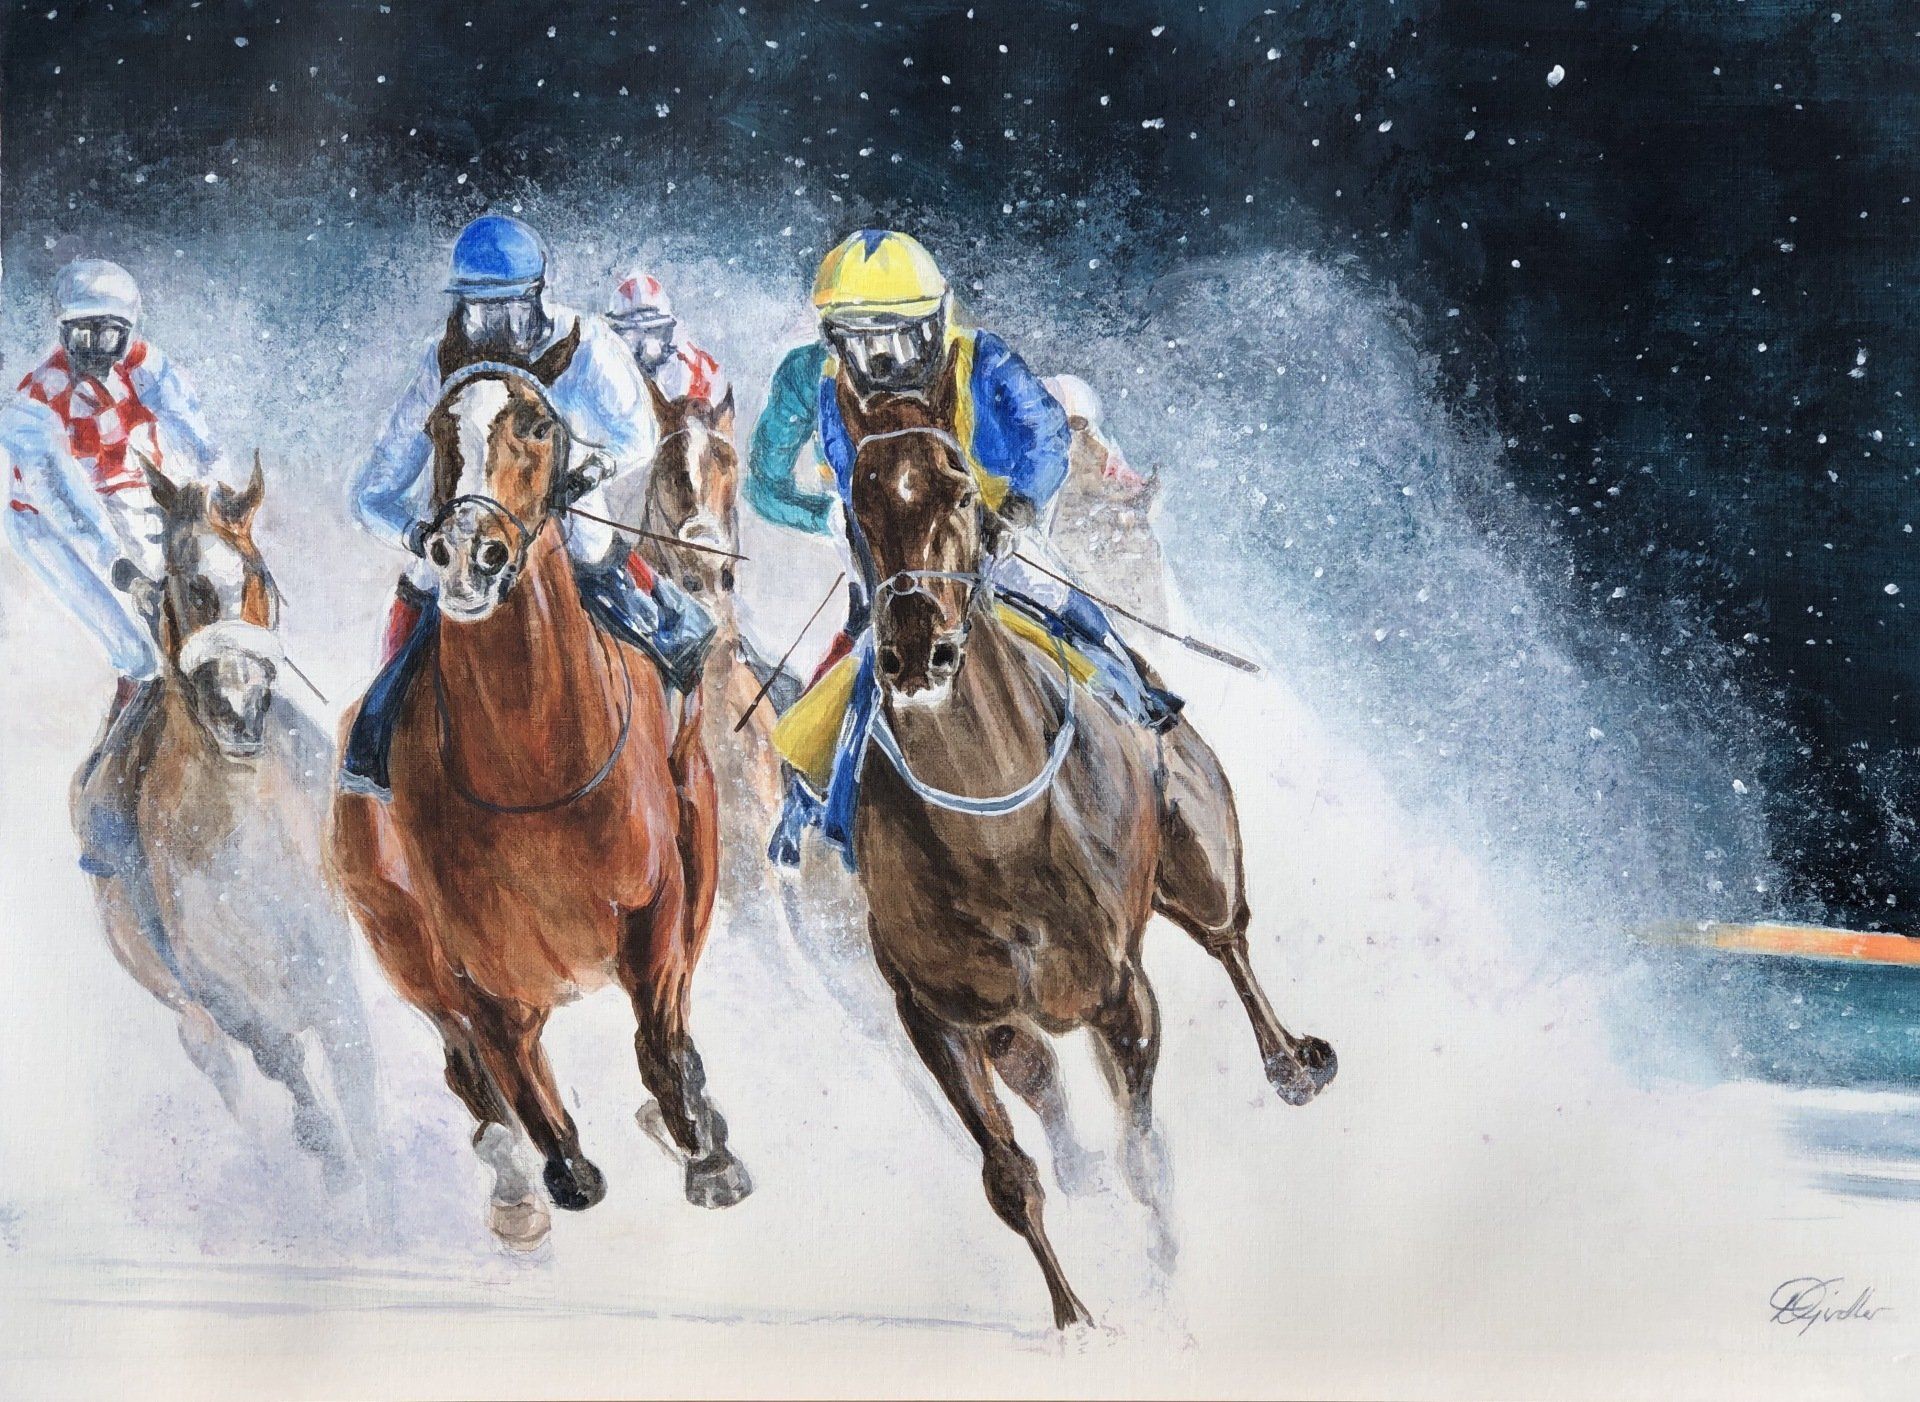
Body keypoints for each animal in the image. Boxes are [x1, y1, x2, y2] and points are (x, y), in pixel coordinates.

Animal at [76, 455, 382, 1194]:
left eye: (258, 575)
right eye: (187, 585)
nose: (238, 708)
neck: (244, 841)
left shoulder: (329, 971)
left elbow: (360, 1099)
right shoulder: (224, 999)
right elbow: (294, 1082)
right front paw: (332, 1173)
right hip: (185, 1011)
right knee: (223, 1073)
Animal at [328, 325, 749, 1253]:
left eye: (538, 425)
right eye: (435, 429)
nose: (465, 555)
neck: (533, 760)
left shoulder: (661, 894)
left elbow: (662, 1036)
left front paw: (706, 1152)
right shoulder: (472, 959)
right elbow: (513, 1074)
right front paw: (557, 1168)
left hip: (700, 834)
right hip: (397, 937)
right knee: (466, 1069)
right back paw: (516, 1181)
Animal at [840, 365, 1338, 1328]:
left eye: (959, 490)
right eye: (858, 497)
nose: (917, 648)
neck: (991, 834)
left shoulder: (1119, 994)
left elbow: (1146, 1154)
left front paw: (1169, 1283)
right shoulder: (936, 1015)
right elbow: (1008, 1176)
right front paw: (1077, 1319)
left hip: (1196, 846)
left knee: (1228, 935)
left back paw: (1293, 1062)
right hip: (1012, 1014)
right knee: (1035, 1070)